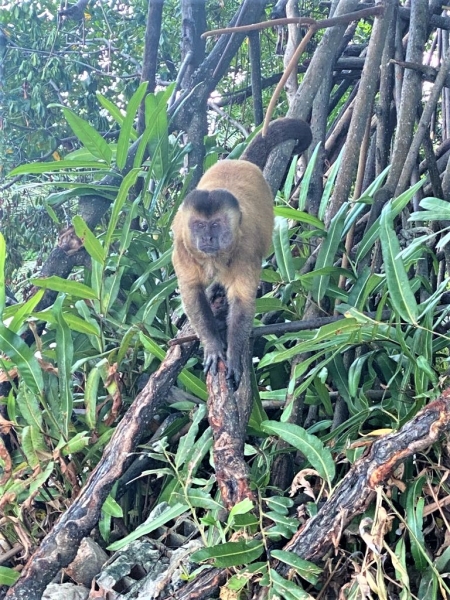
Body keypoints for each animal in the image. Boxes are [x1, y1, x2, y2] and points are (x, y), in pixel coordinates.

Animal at [172, 117, 312, 390]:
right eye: (199, 226)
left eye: (216, 225)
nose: (207, 238)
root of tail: (239, 162)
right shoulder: (183, 247)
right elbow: (191, 292)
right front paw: (213, 345)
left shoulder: (245, 249)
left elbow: (242, 302)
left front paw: (234, 356)